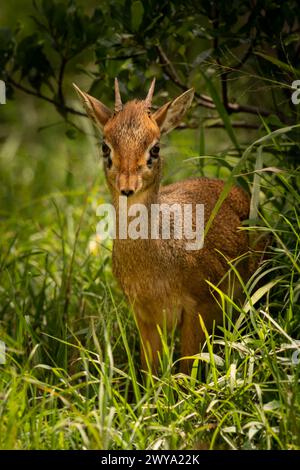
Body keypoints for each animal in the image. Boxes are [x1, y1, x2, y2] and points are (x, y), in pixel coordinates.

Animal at [74, 80, 255, 374]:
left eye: (155, 148)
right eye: (105, 147)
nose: (127, 187)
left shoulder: (198, 308)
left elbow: (187, 369)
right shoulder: (144, 316)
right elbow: (150, 373)